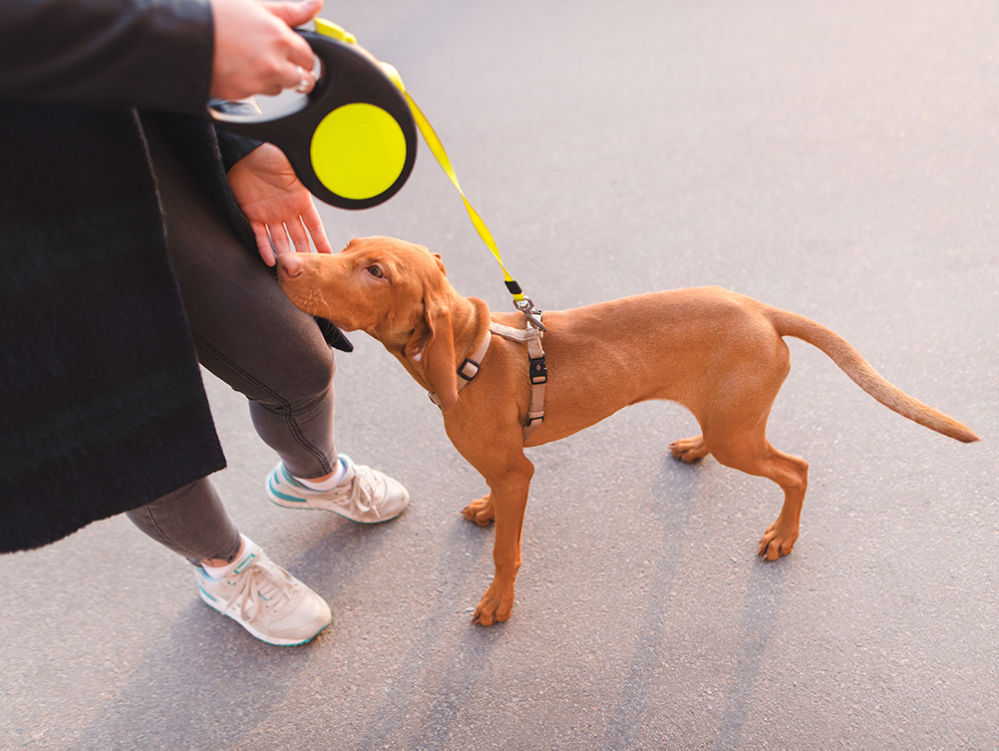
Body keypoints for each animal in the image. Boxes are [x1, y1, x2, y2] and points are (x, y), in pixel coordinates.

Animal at [278, 238, 980, 624]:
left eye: (375, 272)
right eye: (344, 247)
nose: (283, 262)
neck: (470, 352)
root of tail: (761, 309)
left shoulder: (518, 471)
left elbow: (507, 550)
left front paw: (499, 603)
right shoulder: (503, 470)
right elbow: (494, 511)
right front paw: (484, 511)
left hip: (742, 437)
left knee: (797, 469)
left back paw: (783, 536)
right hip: (728, 416)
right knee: (732, 438)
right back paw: (695, 447)